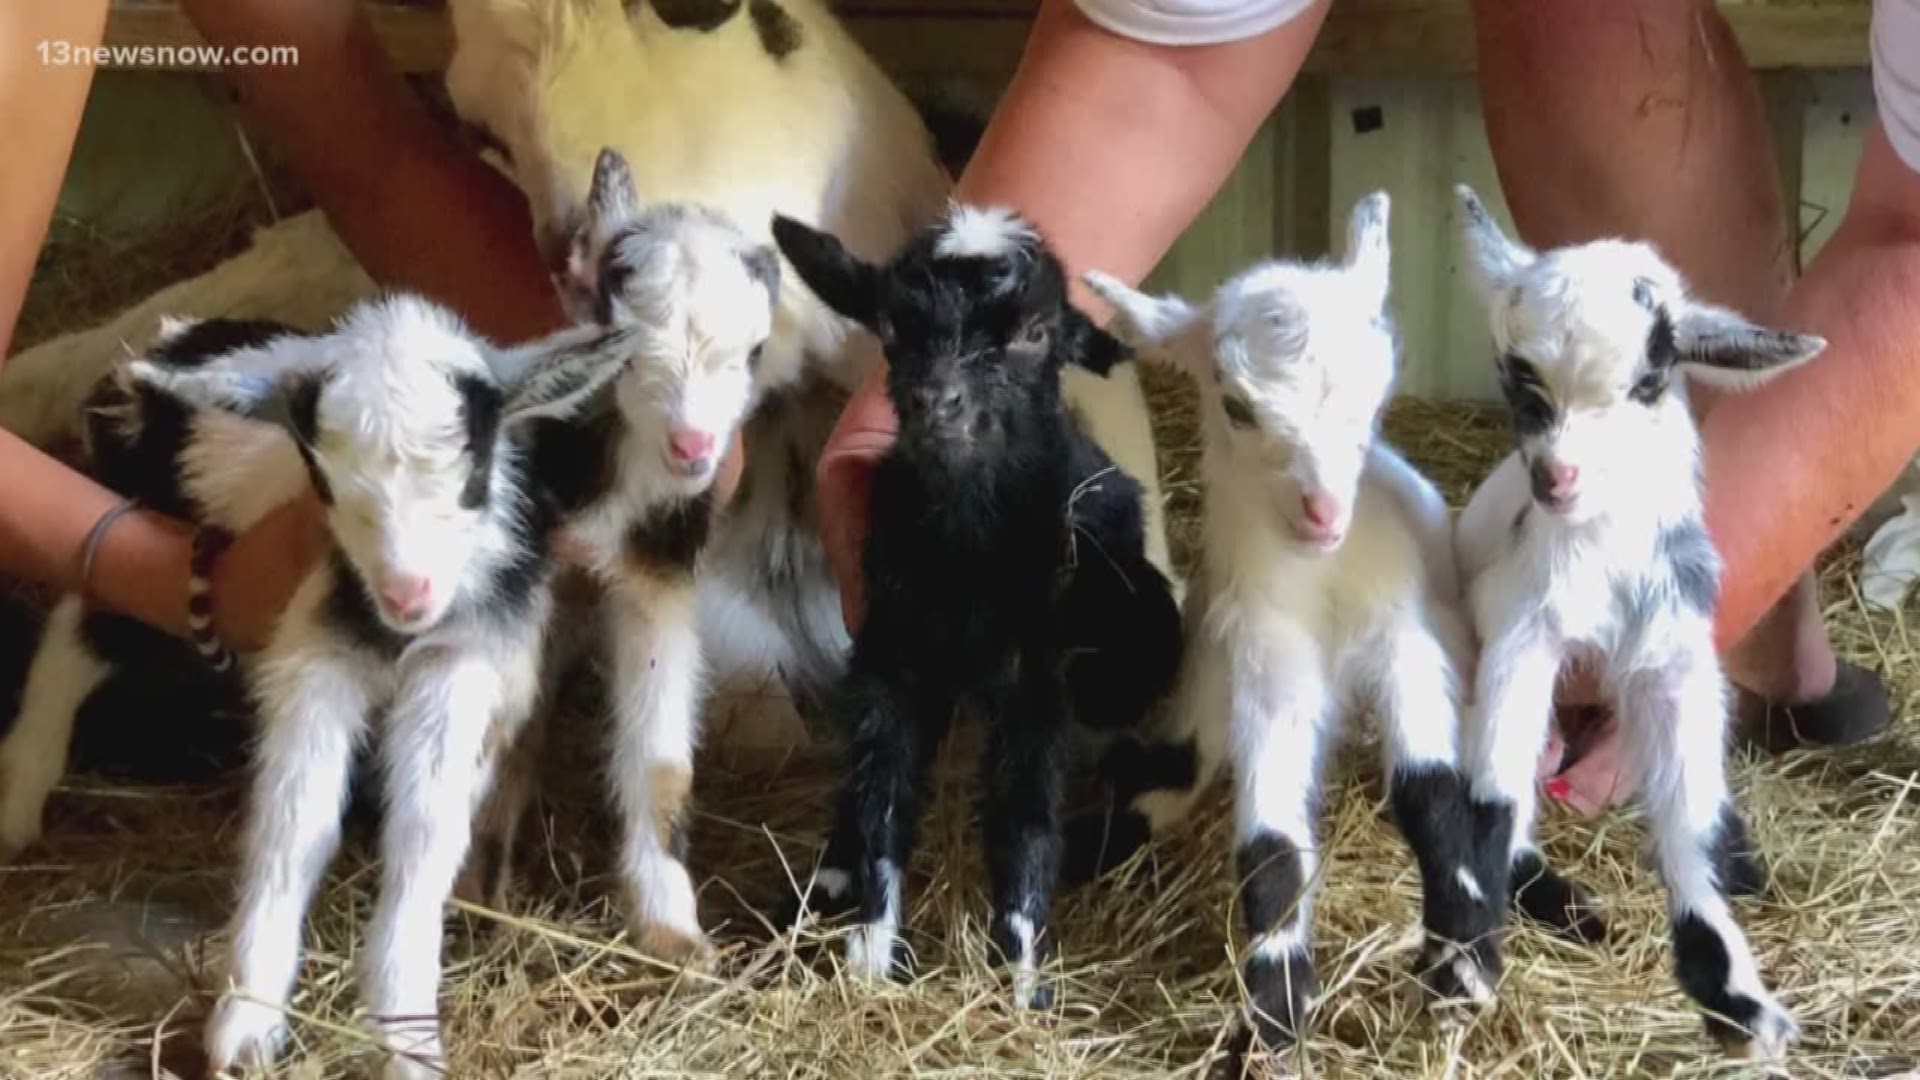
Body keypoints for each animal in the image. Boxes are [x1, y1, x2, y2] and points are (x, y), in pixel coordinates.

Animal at [771, 203, 1175, 999]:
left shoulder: (1036, 678)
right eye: (892, 327)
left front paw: (1018, 970)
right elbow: (881, 787)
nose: (938, 402)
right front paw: (873, 947)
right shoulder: (892, 654)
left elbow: (1025, 812)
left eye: (1036, 332)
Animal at [1090, 193, 1489, 1045]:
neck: (1322, 582)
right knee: (1171, 775)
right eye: (1236, 406)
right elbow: (1270, 850)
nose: (1324, 512)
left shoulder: (1405, 637)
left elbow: (1430, 791)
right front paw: (1277, 1007)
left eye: (1377, 394)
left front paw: (1464, 961)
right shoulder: (1267, 662)